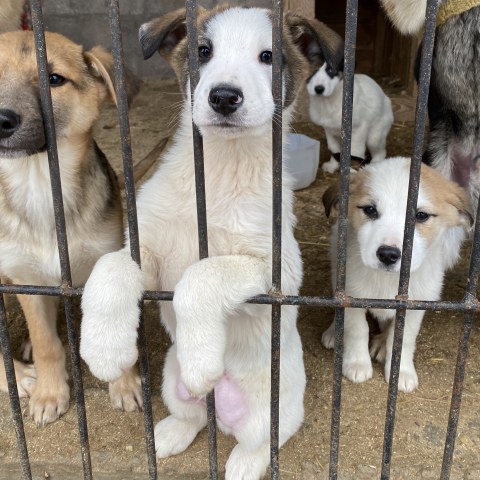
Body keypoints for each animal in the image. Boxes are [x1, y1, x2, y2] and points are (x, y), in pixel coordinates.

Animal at [0, 31, 141, 426]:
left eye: (54, 79)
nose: (1, 118)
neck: (41, 186)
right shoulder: (26, 279)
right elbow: (46, 343)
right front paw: (49, 393)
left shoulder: (111, 261)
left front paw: (125, 382)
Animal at [78, 4, 342, 480]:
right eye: (204, 51)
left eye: (268, 56)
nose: (223, 97)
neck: (221, 168)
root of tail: (224, 410)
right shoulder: (147, 247)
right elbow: (111, 268)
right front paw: (105, 348)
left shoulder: (276, 273)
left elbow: (201, 276)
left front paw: (202, 358)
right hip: (169, 379)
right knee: (192, 416)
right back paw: (168, 434)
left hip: (274, 407)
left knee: (262, 441)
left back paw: (242, 463)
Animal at [320, 158, 474, 394]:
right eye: (370, 209)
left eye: (421, 216)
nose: (388, 254)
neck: (389, 280)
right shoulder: (352, 295)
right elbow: (358, 329)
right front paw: (357, 364)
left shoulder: (414, 305)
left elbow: (403, 339)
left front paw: (401, 372)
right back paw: (332, 332)